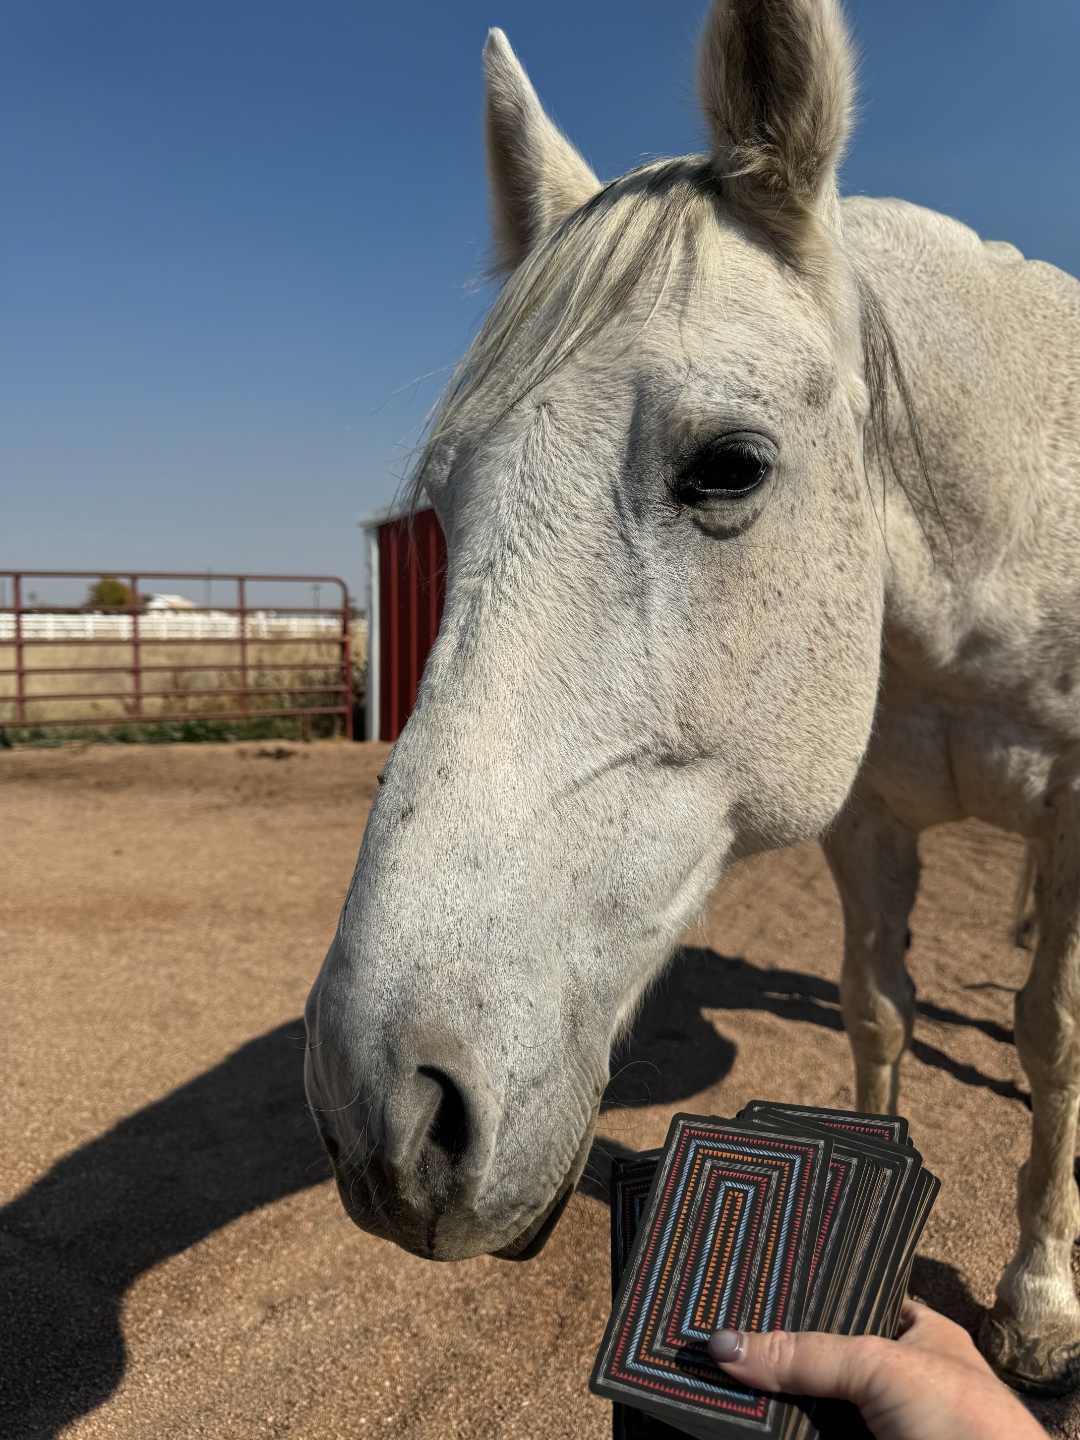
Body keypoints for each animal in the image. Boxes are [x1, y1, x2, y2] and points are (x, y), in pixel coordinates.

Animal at [304, 0, 1080, 1396]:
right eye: (444, 504)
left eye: (728, 466)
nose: (384, 1108)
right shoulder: (864, 821)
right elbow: (877, 1013)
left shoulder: (1078, 814)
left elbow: (1053, 1035)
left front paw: (1041, 1299)